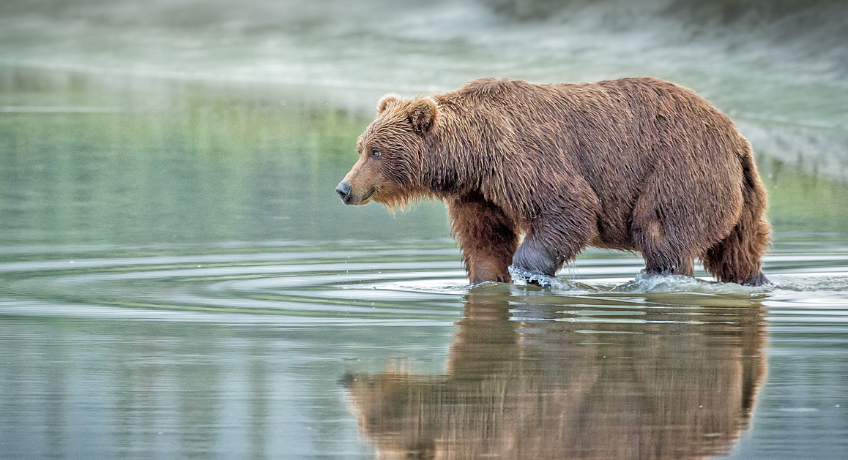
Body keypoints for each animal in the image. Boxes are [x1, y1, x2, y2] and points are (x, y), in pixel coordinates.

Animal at [336, 77, 771, 286]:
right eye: (361, 147)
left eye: (376, 152)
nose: (344, 188)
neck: (474, 155)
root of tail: (737, 139)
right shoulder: (479, 193)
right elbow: (484, 239)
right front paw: (486, 279)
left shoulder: (523, 159)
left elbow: (568, 209)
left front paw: (529, 271)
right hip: (739, 197)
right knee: (737, 252)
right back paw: (754, 281)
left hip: (678, 171)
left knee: (662, 234)